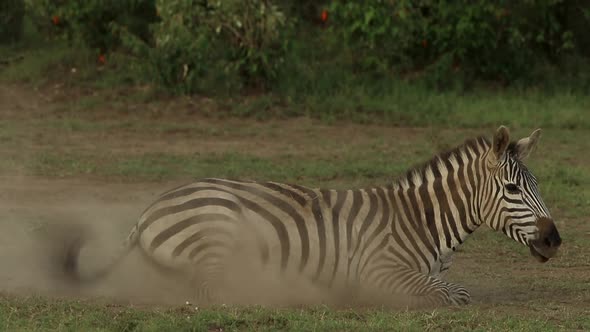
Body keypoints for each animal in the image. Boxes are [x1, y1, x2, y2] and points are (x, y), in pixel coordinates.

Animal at [63, 126, 564, 308]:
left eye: (537, 185)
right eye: (513, 189)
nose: (554, 239)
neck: (423, 221)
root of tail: (149, 210)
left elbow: (447, 286)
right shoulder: (379, 268)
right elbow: (450, 294)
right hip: (219, 230)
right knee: (209, 288)